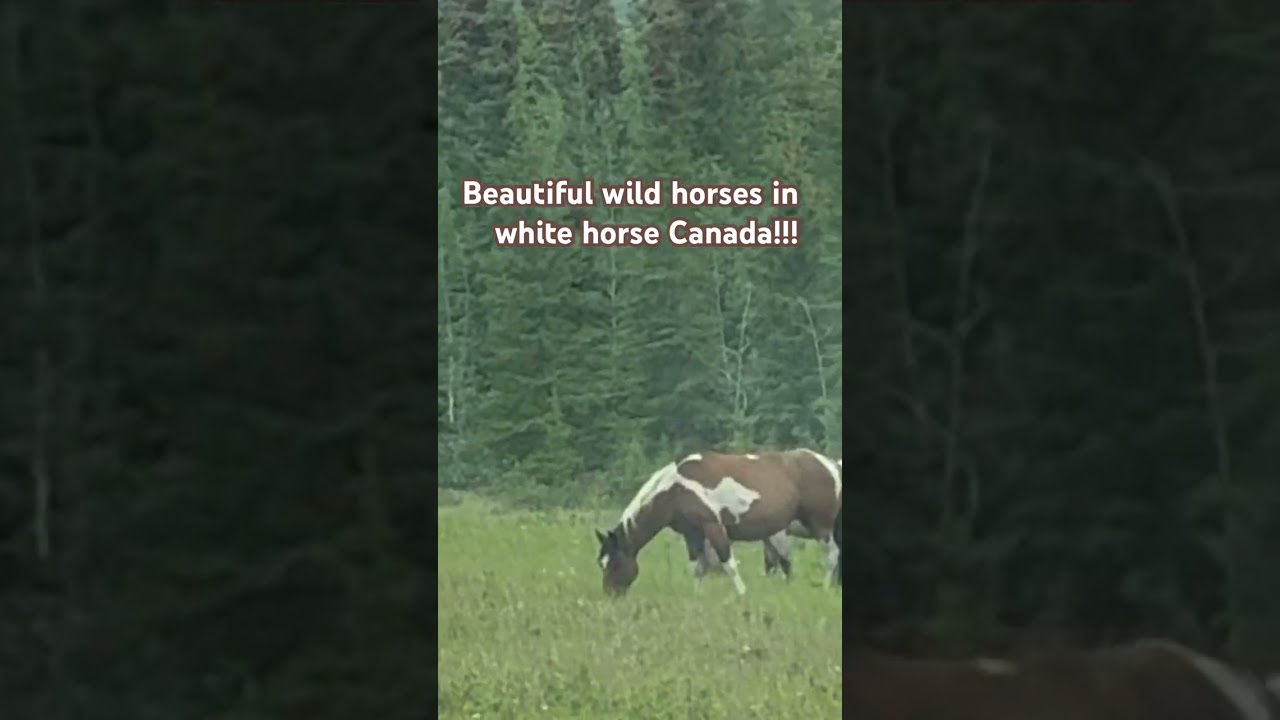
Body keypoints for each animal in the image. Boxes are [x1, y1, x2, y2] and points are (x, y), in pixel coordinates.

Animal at [594, 448, 842, 596]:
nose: (610, 595)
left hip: (822, 525)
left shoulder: (713, 527)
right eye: (601, 564)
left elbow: (728, 564)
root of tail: (830, 464)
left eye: (615, 564)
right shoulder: (692, 534)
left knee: (832, 556)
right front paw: (697, 597)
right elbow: (697, 568)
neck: (676, 489)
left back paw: (826, 588)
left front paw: (742, 594)